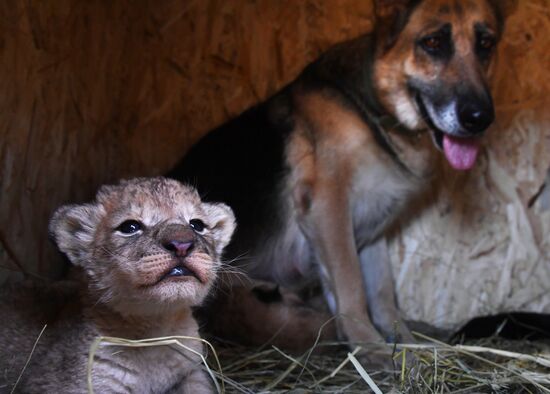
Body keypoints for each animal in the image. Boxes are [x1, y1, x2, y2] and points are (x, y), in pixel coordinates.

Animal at [169, 0, 516, 366]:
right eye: (433, 43)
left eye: (486, 44)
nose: (480, 118)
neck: (369, 112)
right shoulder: (328, 208)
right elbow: (351, 284)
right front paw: (370, 346)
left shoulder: (372, 227)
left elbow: (382, 292)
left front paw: (406, 344)